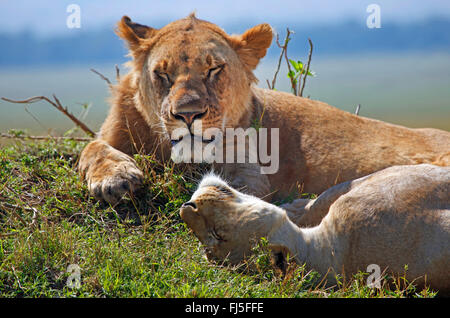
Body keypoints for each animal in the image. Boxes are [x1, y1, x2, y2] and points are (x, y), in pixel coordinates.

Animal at [78, 13, 450, 204]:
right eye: (162, 74)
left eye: (214, 69)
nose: (188, 114)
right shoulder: (111, 134)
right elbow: (92, 148)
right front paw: (115, 178)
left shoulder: (253, 178)